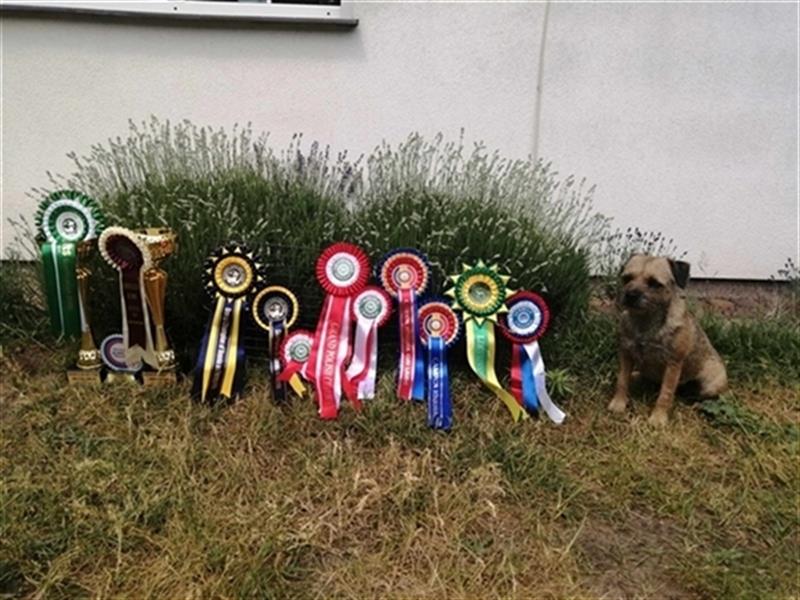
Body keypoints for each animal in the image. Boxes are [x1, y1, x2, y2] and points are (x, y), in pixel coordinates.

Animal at [608, 255, 728, 424]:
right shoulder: (626, 355)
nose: (630, 295)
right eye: (627, 278)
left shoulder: (673, 364)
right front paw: (618, 404)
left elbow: (665, 393)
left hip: (711, 383)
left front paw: (658, 418)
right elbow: (622, 380)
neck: (645, 322)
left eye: (654, 283)